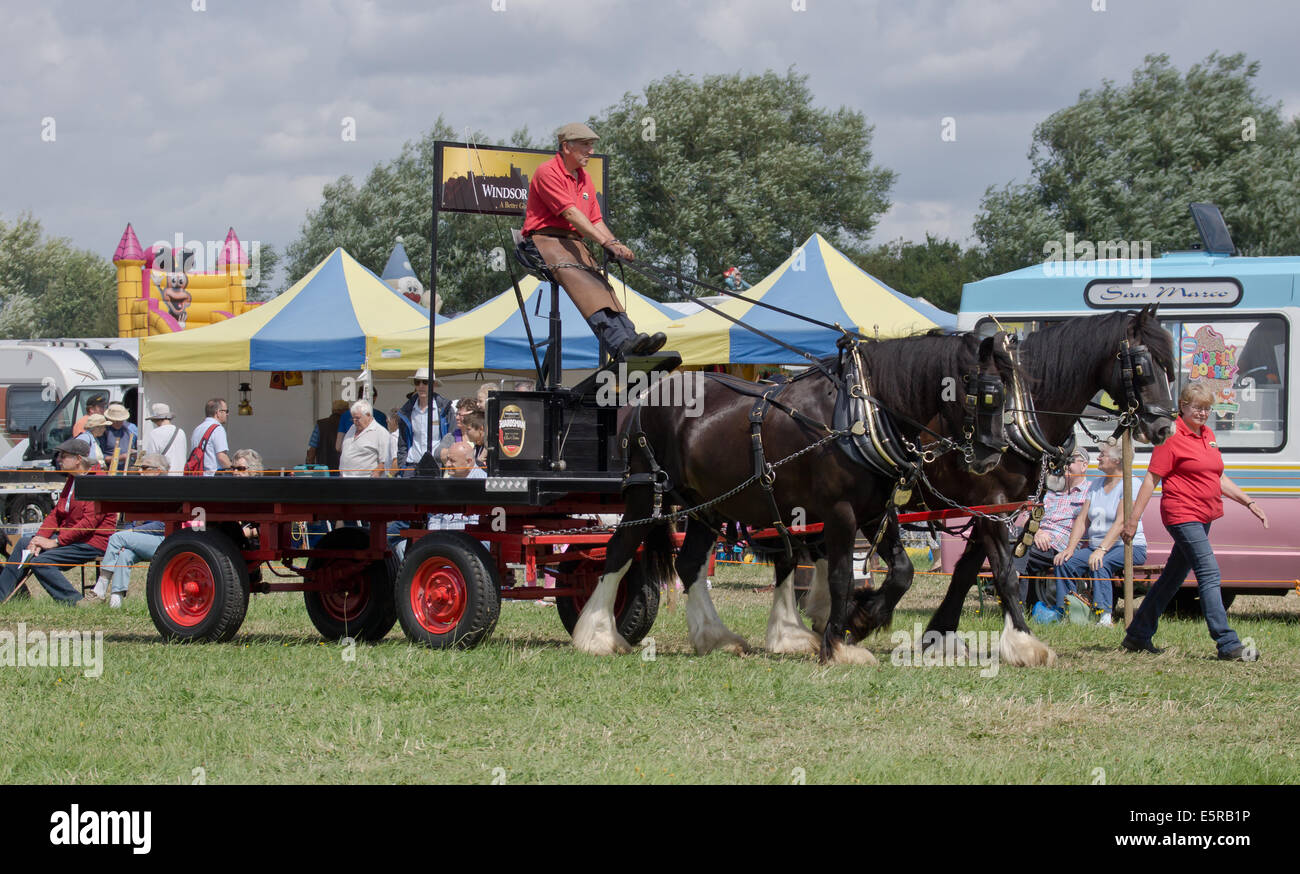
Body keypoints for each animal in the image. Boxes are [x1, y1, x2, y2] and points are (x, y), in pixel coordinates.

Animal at [573, 330, 1019, 664]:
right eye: (986, 392)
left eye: (1007, 390)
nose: (992, 454)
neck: (856, 417)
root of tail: (646, 397)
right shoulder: (840, 512)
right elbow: (840, 576)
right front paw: (837, 644)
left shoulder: (875, 512)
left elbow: (902, 572)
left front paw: (861, 620)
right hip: (645, 493)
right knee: (619, 550)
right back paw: (596, 635)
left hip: (706, 505)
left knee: (688, 563)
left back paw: (714, 637)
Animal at [811, 306, 1177, 666]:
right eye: (1143, 367)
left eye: (1169, 366)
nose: (1164, 427)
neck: (1017, 414)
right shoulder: (992, 505)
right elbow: (1005, 573)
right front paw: (1024, 642)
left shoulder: (991, 508)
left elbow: (965, 572)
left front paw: (938, 635)